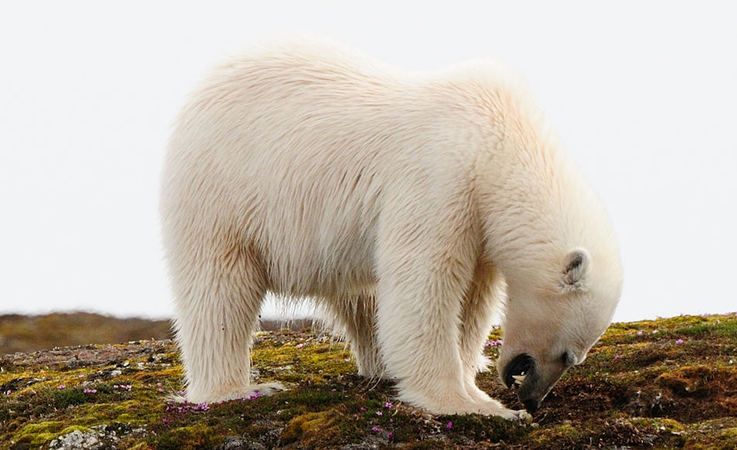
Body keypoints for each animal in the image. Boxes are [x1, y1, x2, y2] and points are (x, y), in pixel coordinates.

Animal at [161, 39, 620, 418]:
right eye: (569, 354)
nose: (532, 398)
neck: (498, 140)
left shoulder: (479, 221)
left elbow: (472, 301)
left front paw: (471, 379)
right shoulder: (440, 179)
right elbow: (425, 282)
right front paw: (472, 404)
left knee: (362, 297)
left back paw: (379, 364)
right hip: (224, 192)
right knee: (220, 291)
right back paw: (235, 389)